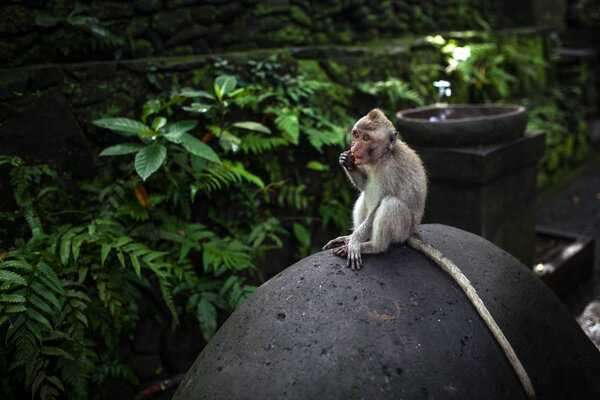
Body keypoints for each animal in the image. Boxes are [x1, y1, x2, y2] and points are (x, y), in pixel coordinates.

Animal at [326, 108, 536, 398]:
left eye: (366, 137)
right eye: (356, 134)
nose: (354, 147)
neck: (381, 158)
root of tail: (413, 231)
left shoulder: (390, 173)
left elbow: (380, 202)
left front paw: (357, 244)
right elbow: (363, 187)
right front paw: (347, 162)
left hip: (402, 227)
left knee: (390, 204)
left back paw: (371, 246)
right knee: (363, 199)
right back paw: (351, 235)